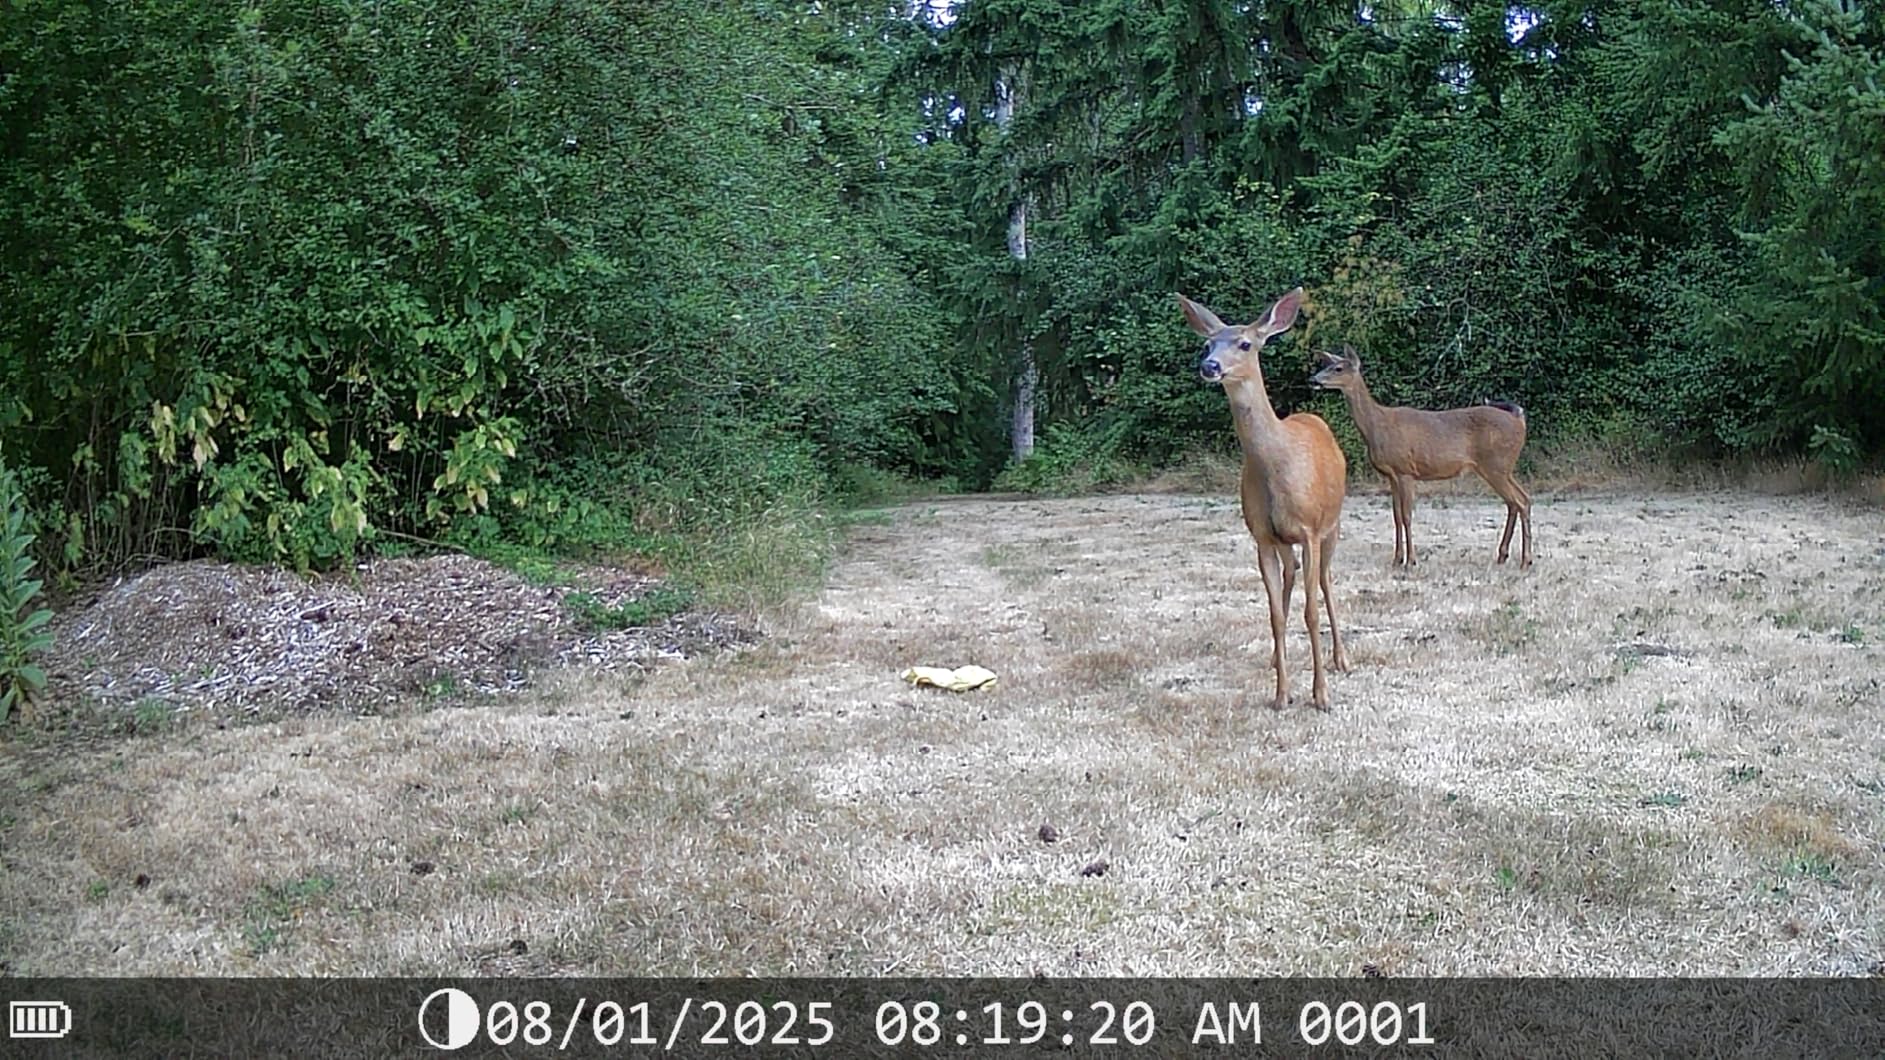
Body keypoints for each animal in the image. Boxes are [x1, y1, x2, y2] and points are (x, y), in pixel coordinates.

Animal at [1178, 287, 1349, 711]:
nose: (1209, 365)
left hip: (1333, 523)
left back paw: (1341, 658)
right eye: (1207, 343)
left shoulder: (1310, 529)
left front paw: (1321, 695)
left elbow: (1311, 611)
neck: (1277, 468)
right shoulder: (1262, 536)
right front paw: (1281, 694)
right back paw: (1276, 658)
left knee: (1326, 580)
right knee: (1292, 574)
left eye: (1244, 343)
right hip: (1286, 540)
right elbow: (1274, 614)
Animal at [1310, 346, 1532, 569]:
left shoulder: (1405, 470)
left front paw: (1411, 561)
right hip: (1503, 467)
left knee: (1519, 502)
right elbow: (1396, 516)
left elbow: (1407, 516)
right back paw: (1504, 555)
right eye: (1326, 364)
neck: (1377, 427)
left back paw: (1525, 560)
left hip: (1495, 465)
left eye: (1338, 368)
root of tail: (1519, 420)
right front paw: (1397, 559)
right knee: (1521, 500)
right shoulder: (1392, 475)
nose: (1313, 380)